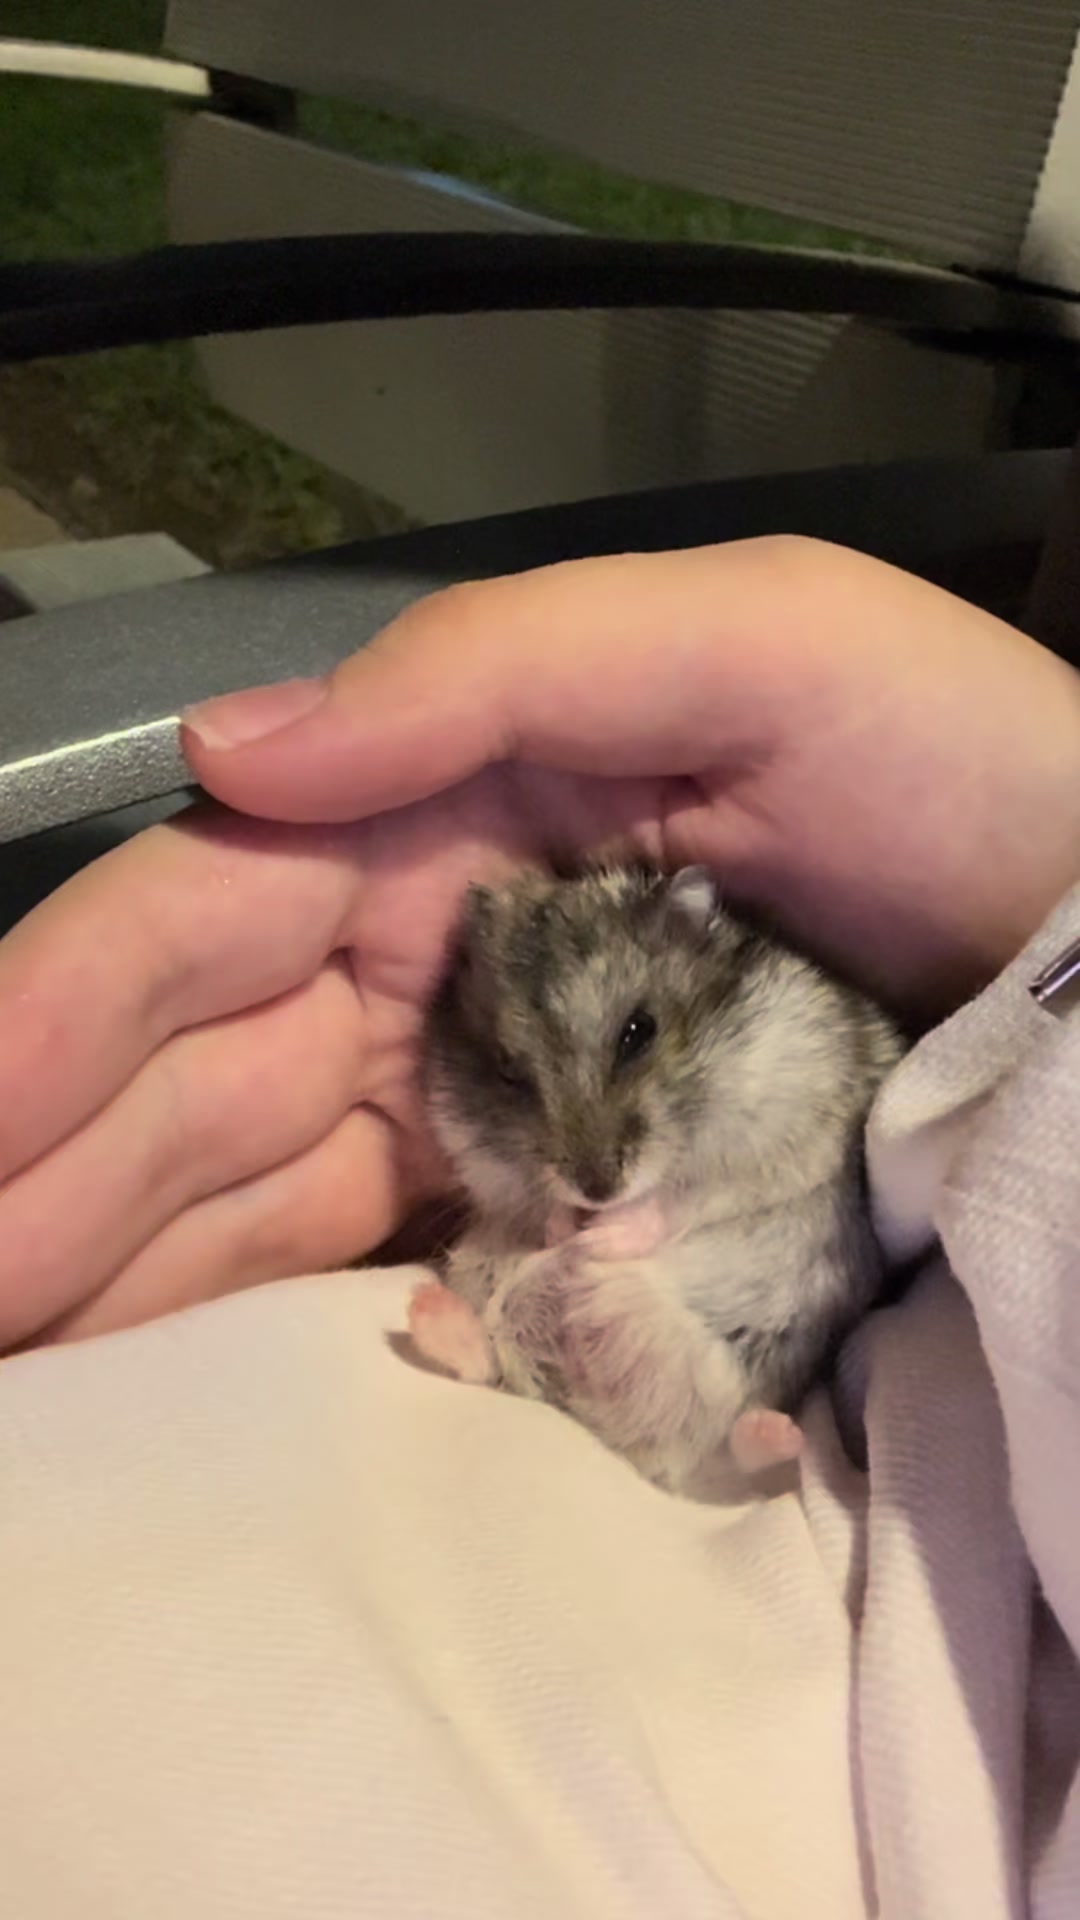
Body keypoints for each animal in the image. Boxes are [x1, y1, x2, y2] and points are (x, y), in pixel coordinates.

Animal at [408, 862, 905, 1492]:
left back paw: (777, 1435)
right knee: (485, 1362)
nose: (597, 1192)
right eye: (506, 1068)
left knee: (731, 1452)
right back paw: (433, 1314)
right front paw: (569, 1229)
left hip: (754, 1364)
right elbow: (528, 1202)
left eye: (639, 1031)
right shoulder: (478, 1154)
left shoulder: (782, 1137)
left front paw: (598, 1238)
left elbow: (686, 1198)